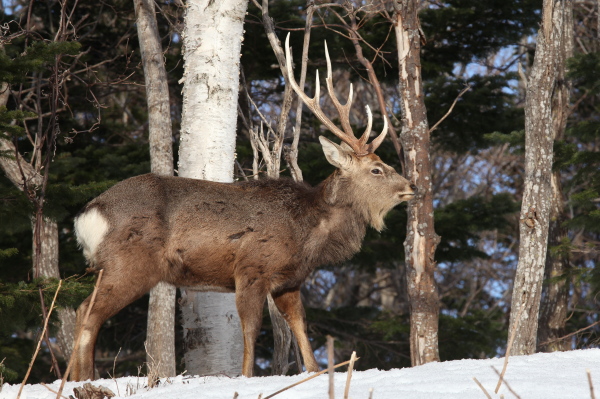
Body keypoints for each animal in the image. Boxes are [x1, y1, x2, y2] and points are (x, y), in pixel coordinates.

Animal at [71, 35, 418, 382]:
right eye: (376, 169)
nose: (411, 187)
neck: (308, 232)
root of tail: (88, 214)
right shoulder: (252, 268)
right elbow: (250, 332)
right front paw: (247, 377)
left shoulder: (289, 282)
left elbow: (302, 333)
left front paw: (314, 373)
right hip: (128, 263)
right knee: (87, 312)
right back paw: (83, 379)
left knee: (84, 312)